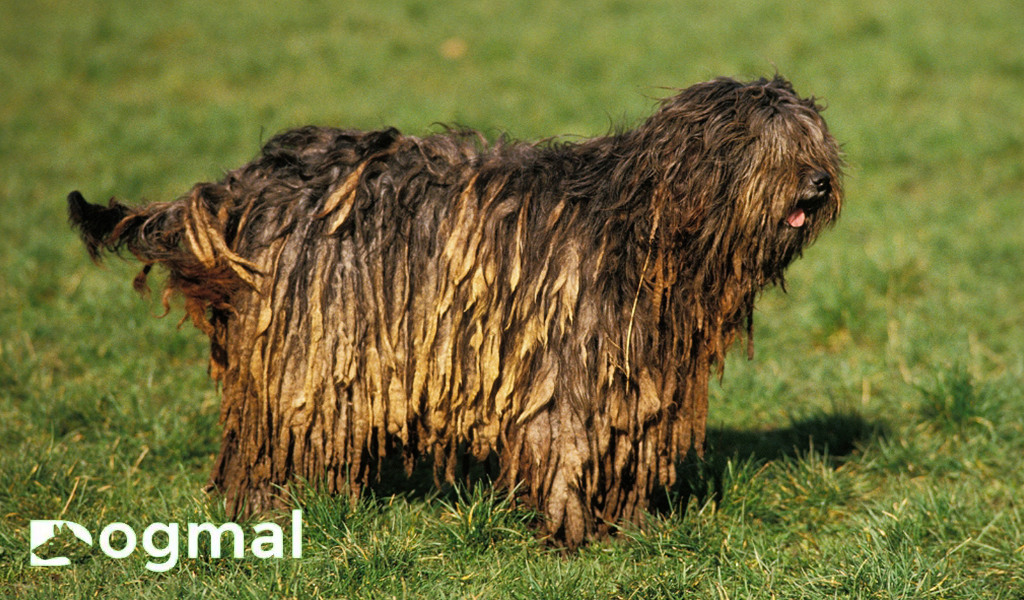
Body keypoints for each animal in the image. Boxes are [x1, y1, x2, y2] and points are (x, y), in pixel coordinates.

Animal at [70, 74, 839, 544]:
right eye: (769, 147)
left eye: (813, 142)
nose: (820, 183)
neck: (647, 226)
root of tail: (242, 186)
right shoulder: (568, 368)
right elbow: (566, 446)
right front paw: (573, 534)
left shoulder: (638, 378)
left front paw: (627, 525)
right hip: (307, 348)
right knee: (270, 437)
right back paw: (270, 508)